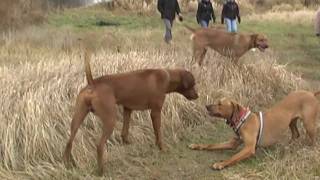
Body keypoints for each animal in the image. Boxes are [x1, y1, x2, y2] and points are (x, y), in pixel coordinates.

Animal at [62, 52, 199, 175]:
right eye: (193, 84)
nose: (198, 96)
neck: (168, 76)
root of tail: (93, 84)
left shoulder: (127, 109)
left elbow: (124, 131)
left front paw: (127, 143)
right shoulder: (155, 112)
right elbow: (158, 132)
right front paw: (162, 148)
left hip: (77, 118)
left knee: (69, 142)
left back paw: (68, 165)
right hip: (110, 119)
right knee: (99, 145)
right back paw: (101, 171)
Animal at [189, 90, 318, 169]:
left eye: (220, 104)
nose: (206, 106)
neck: (242, 119)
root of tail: (311, 93)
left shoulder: (249, 148)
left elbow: (233, 157)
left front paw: (221, 164)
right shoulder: (233, 143)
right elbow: (211, 145)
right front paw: (197, 145)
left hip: (309, 124)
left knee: (313, 140)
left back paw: (308, 150)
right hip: (291, 121)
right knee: (296, 134)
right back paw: (288, 147)